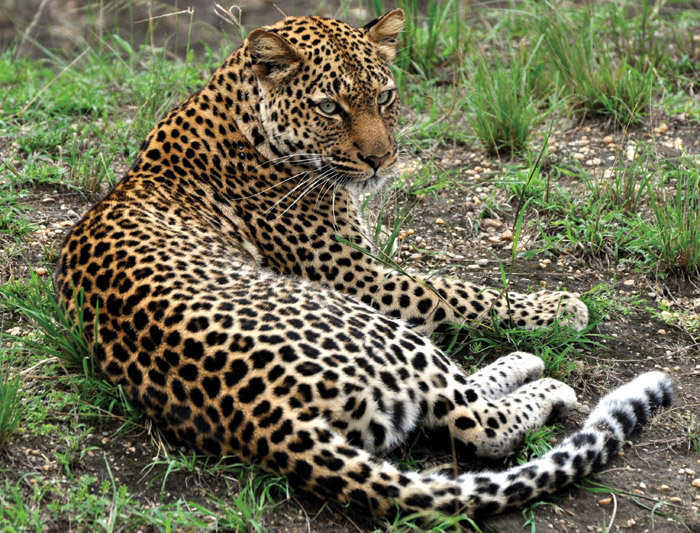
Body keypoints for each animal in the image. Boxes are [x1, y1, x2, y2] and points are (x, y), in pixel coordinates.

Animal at [56, 9, 672, 519]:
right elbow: (456, 290)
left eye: (386, 97)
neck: (241, 117)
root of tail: (263, 415)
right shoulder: (355, 273)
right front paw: (559, 306)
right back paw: (542, 377)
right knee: (476, 424)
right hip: (372, 322)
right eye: (329, 106)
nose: (381, 159)